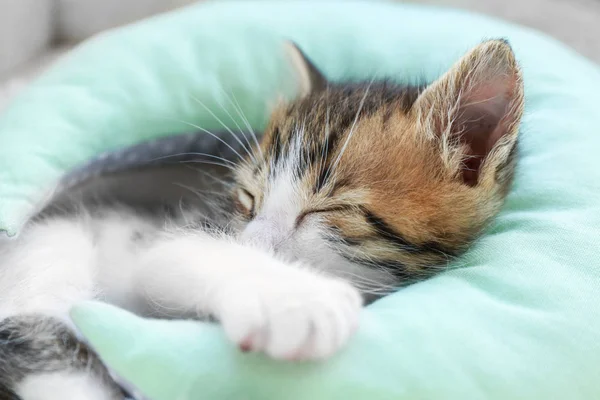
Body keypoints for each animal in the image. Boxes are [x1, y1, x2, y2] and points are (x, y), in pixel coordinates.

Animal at [0, 38, 524, 400]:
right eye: (249, 199)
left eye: (326, 210)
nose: (250, 242)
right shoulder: (168, 235)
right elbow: (178, 254)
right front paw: (297, 301)